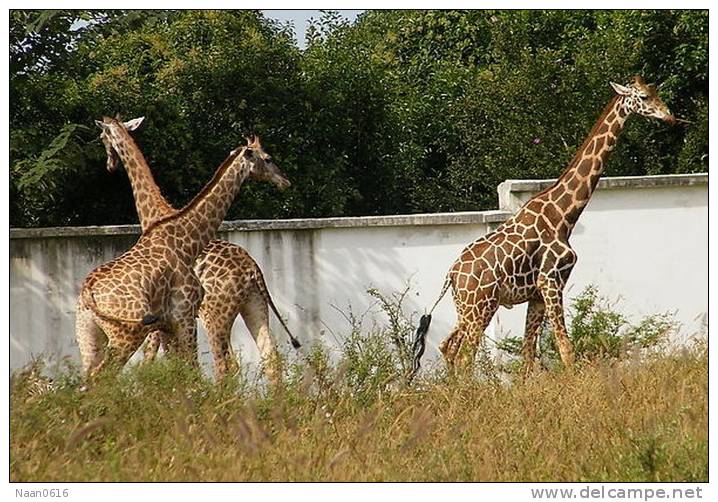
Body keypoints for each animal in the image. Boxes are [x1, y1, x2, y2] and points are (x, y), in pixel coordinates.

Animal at [94, 115, 300, 378]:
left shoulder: (165, 318)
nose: (110, 165)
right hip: (253, 305)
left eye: (102, 137)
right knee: (269, 357)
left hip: (215, 314)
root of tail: (253, 270)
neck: (154, 213)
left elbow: (155, 359)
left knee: (225, 365)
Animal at [414, 76, 676, 378]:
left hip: (466, 308)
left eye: (656, 92)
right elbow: (565, 349)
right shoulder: (551, 282)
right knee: (466, 356)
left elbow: (528, 354)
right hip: (480, 306)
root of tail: (452, 274)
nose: (669, 116)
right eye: (644, 97)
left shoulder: (537, 293)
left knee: (449, 347)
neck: (563, 215)